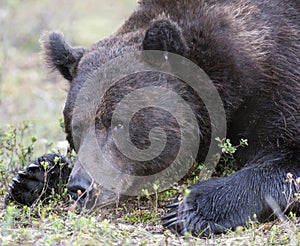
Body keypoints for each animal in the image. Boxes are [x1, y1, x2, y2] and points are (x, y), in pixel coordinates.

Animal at [7, 0, 300, 235]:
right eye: (75, 127)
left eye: (118, 123)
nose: (81, 186)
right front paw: (34, 176)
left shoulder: (279, 85)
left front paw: (188, 209)